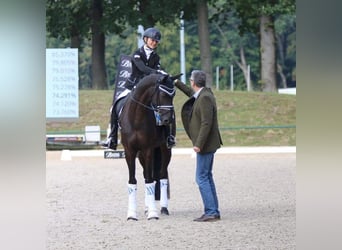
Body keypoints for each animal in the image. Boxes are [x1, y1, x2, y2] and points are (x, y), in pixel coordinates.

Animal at [119, 73, 179, 220]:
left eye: (174, 94)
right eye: (163, 94)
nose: (168, 120)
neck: (136, 117)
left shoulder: (148, 150)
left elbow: (150, 180)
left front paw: (153, 213)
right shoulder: (130, 151)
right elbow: (133, 181)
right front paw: (132, 214)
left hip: (164, 149)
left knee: (162, 176)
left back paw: (163, 208)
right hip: (141, 155)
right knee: (147, 174)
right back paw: (147, 208)